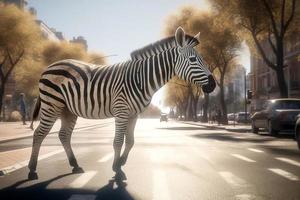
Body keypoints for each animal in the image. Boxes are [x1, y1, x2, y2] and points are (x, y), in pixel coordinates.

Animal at [28, 27, 216, 182]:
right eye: (193, 59)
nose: (213, 85)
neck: (142, 78)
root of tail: (49, 66)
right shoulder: (121, 111)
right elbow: (118, 141)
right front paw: (116, 169)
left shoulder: (133, 114)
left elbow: (131, 141)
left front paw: (121, 163)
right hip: (52, 105)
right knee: (39, 134)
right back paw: (32, 170)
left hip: (68, 110)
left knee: (63, 135)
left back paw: (75, 165)